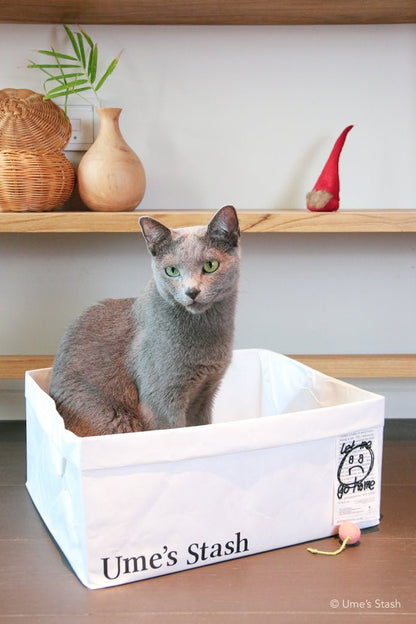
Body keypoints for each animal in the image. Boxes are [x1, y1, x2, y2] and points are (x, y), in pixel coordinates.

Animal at [49, 205, 240, 434]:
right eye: (172, 271)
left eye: (211, 265)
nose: (191, 291)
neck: (206, 332)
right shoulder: (161, 402)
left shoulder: (205, 394)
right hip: (116, 419)